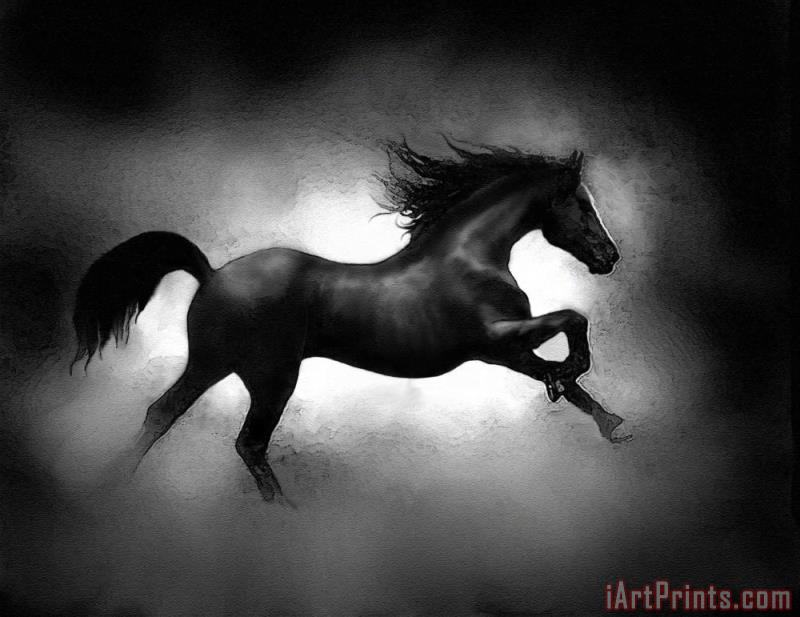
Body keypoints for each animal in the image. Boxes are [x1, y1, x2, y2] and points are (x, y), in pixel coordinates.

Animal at [72, 139, 628, 504]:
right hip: (272, 377)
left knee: (161, 413)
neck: (472, 257)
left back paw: (112, 491)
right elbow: (574, 320)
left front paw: (609, 422)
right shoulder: (494, 338)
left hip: (212, 364)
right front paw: (574, 373)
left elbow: (562, 380)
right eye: (582, 204)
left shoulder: (505, 351)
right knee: (248, 442)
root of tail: (211, 275)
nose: (610, 258)